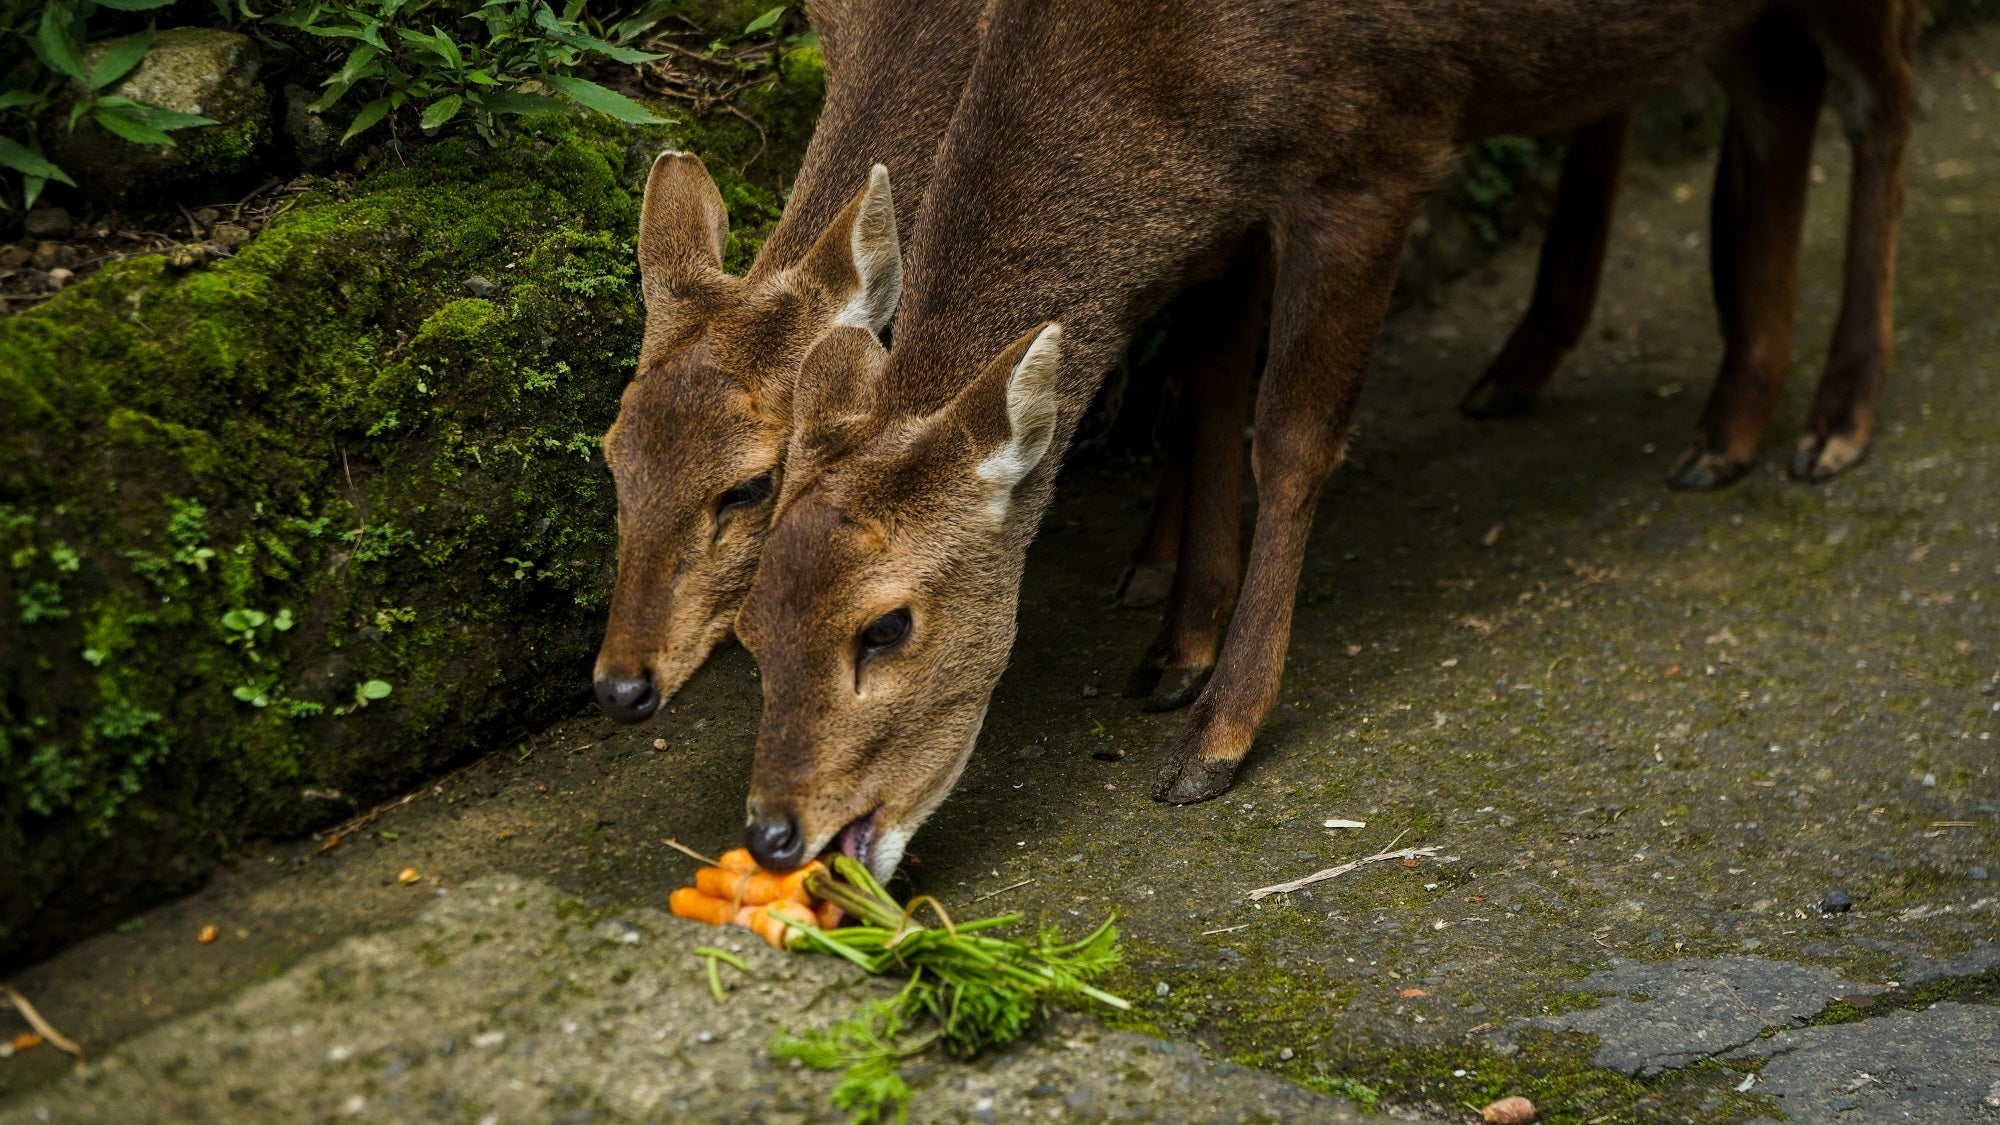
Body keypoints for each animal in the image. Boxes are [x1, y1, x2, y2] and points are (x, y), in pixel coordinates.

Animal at [728, 0, 1912, 876]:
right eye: (747, 632)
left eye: (886, 625)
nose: (774, 831)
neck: (1164, 75)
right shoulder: (1241, 195)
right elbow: (1207, 387)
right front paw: (1174, 649)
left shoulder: (1375, 149)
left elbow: (1289, 435)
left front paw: (1214, 736)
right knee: (1782, 93)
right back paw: (1726, 424)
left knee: (1882, 102)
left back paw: (1835, 420)